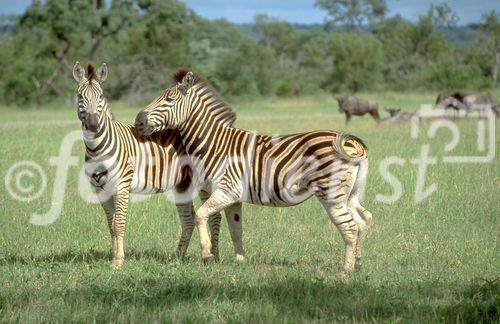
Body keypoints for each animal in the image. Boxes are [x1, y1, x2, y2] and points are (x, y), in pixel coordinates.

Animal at [71, 62, 228, 268]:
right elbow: (111, 225)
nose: (92, 125)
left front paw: (118, 261)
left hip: (203, 182)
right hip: (182, 184)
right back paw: (178, 257)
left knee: (214, 215)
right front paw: (114, 256)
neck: (97, 148)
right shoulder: (100, 190)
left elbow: (119, 224)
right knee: (188, 220)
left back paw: (214, 256)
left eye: (101, 96)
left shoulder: (121, 186)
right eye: (80, 96)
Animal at [135, 69, 374, 272]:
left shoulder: (226, 191)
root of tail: (352, 142)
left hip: (331, 194)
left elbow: (200, 216)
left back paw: (346, 270)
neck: (214, 144)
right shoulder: (233, 198)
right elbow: (235, 230)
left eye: (169, 100)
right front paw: (240, 261)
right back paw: (358, 263)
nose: (138, 122)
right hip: (349, 195)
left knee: (350, 228)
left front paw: (207, 254)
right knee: (362, 222)